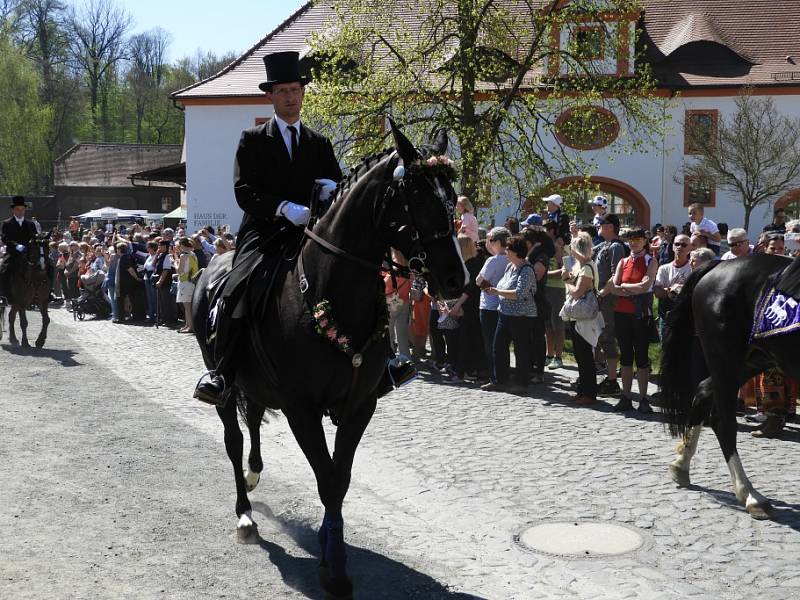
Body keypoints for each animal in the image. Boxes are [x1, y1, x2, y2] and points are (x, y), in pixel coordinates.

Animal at [194, 122, 466, 596]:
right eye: (417, 199)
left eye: (452, 199)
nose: (456, 279)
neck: (329, 290)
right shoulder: (302, 409)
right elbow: (327, 479)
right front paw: (334, 568)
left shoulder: (359, 405)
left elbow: (339, 478)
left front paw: (330, 542)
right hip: (226, 386)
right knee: (234, 438)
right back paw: (245, 514)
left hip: (257, 385)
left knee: (253, 422)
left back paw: (255, 473)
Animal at [660, 253, 796, 520]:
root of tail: (720, 263)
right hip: (726, 358)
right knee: (723, 421)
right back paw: (751, 495)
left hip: (752, 360)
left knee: (703, 392)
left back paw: (681, 464)